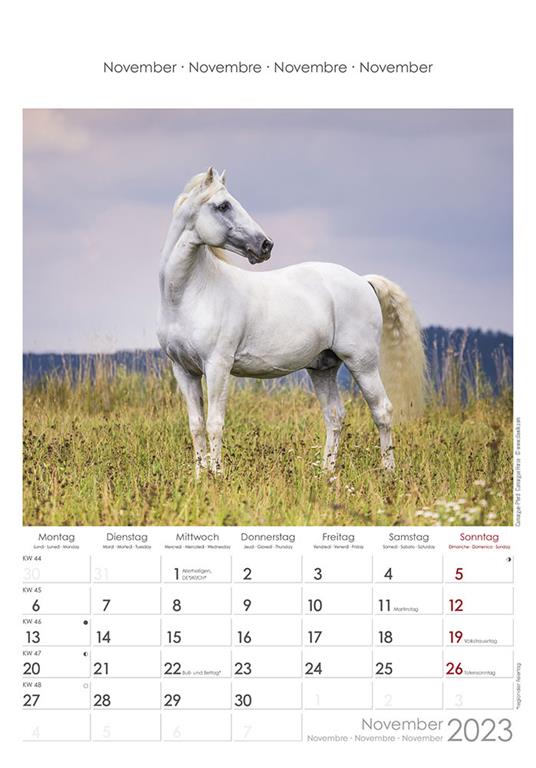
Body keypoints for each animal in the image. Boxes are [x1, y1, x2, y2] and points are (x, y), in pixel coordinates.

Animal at [157, 167, 426, 477]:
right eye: (223, 205)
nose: (265, 245)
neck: (190, 294)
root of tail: (363, 280)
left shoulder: (217, 367)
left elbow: (215, 424)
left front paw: (217, 475)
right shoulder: (184, 371)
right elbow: (196, 426)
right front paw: (201, 476)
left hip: (363, 364)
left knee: (382, 411)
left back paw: (388, 471)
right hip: (323, 368)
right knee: (335, 416)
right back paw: (326, 473)